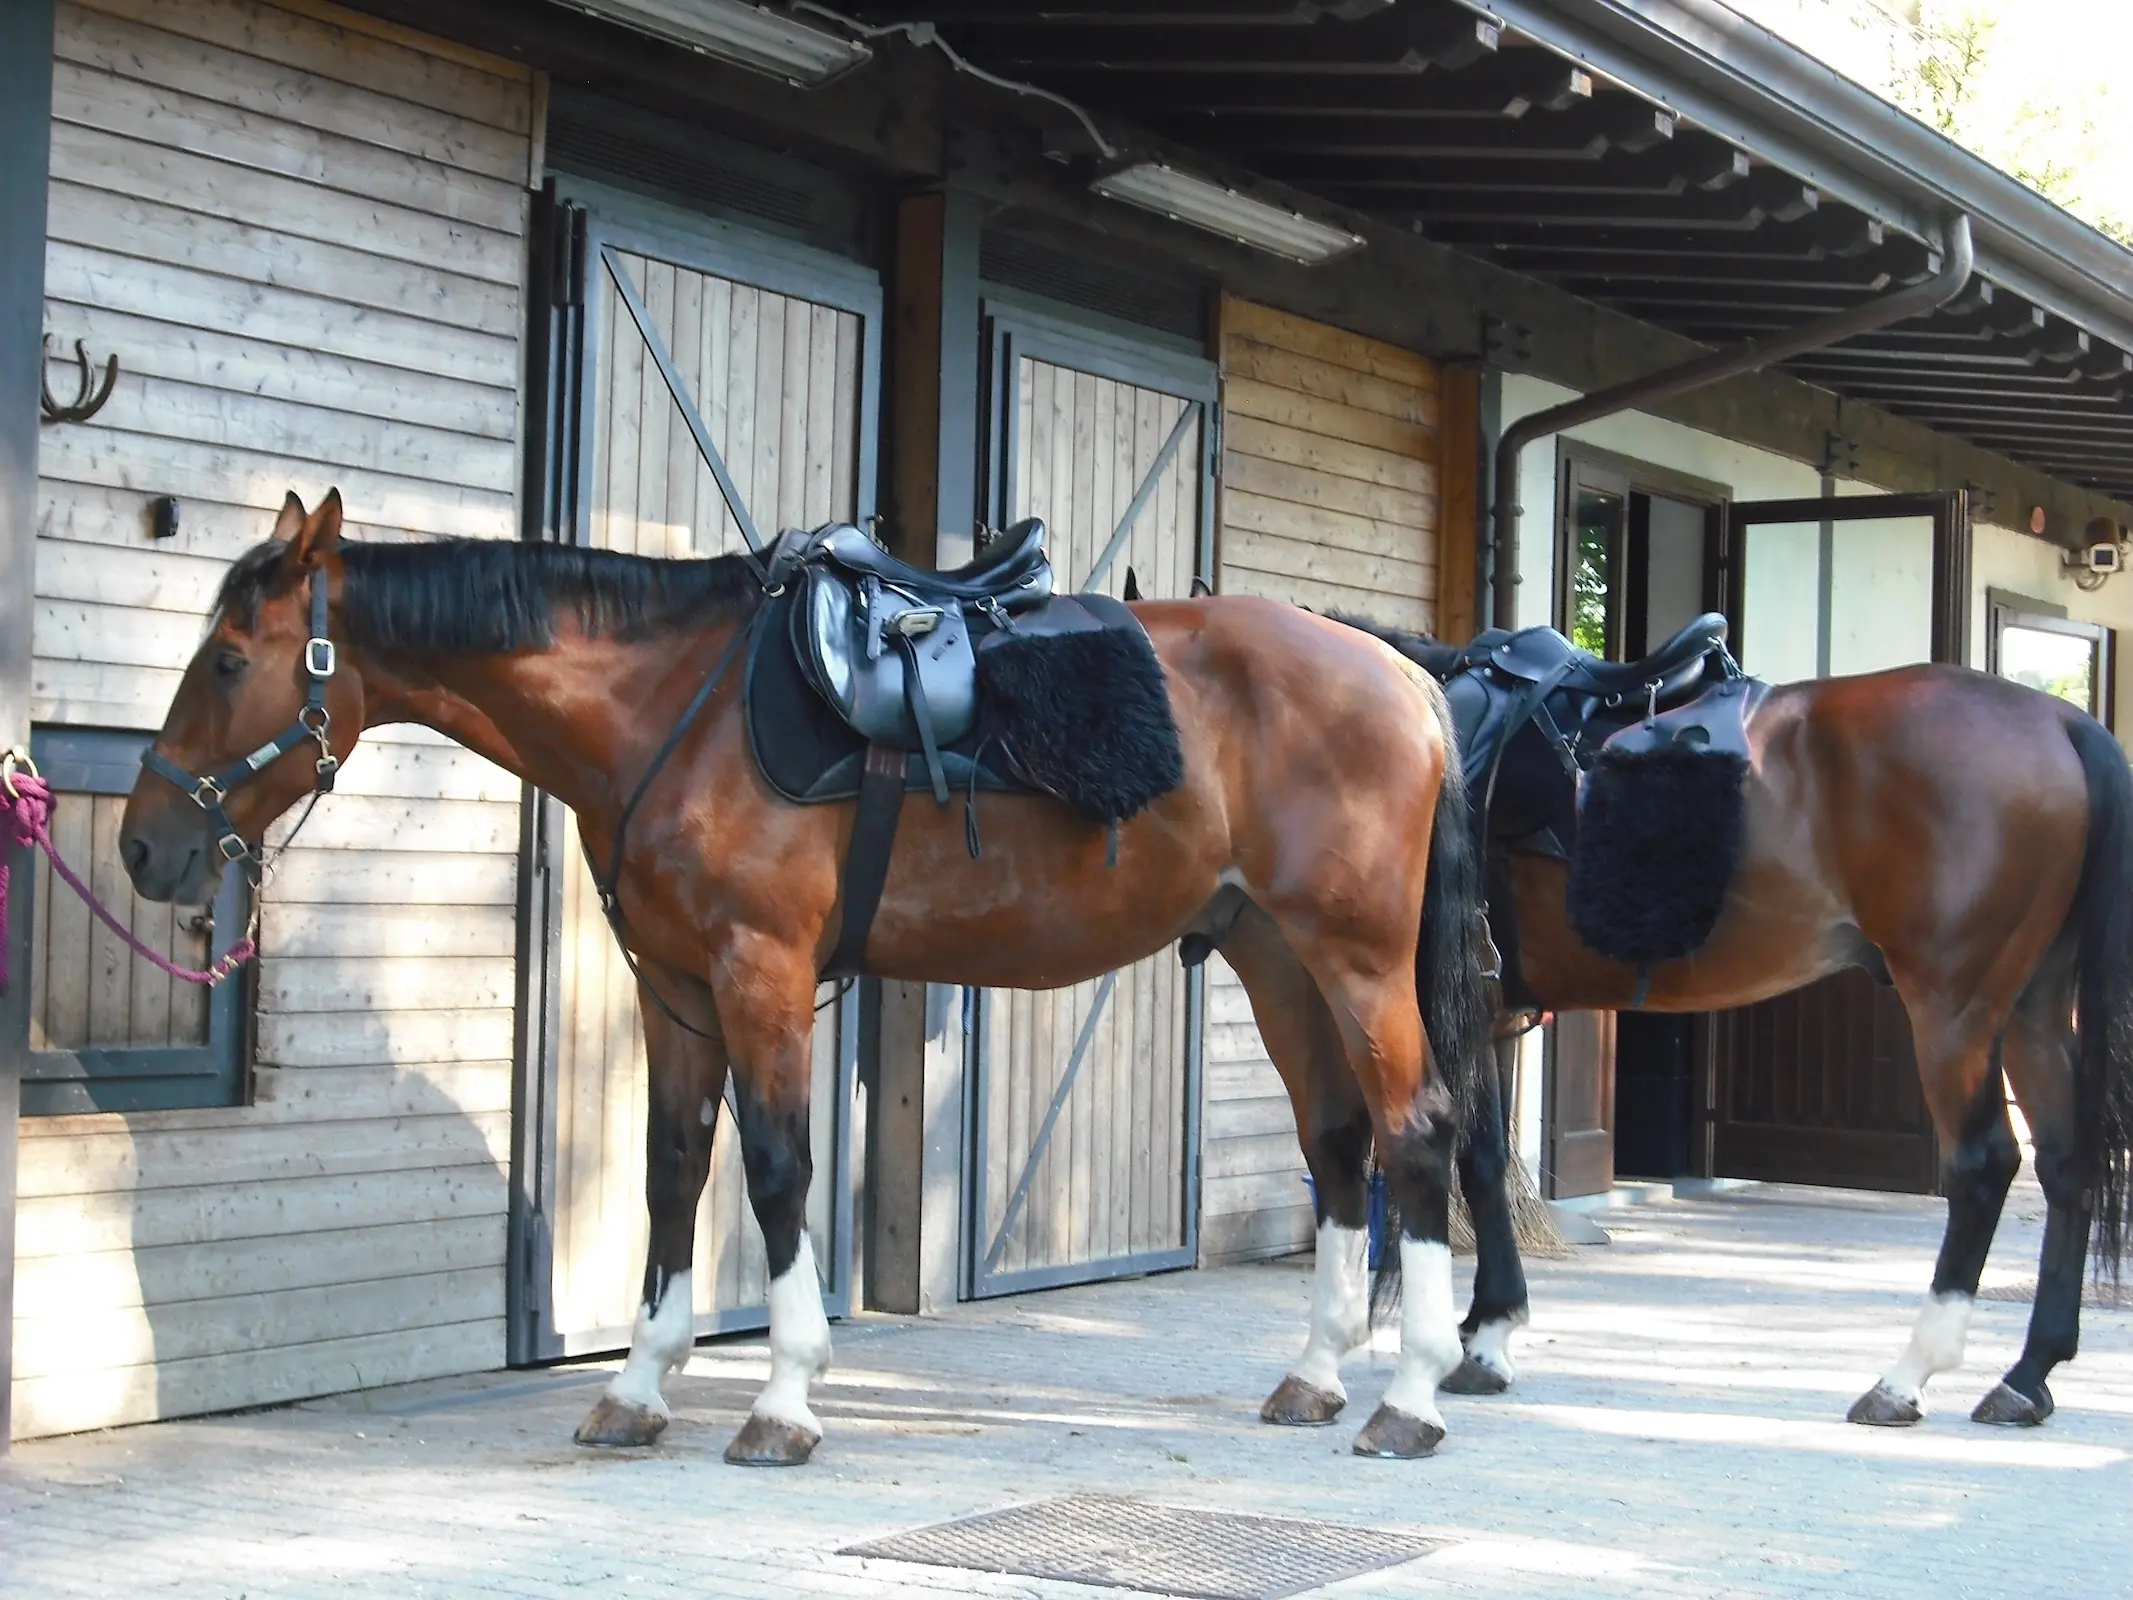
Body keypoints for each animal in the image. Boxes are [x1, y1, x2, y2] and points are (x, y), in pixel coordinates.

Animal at [120, 491, 1494, 1466]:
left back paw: (1414, 1395)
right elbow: (675, 1167)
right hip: (1277, 956)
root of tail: (1402, 675)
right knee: (1338, 1142)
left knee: (1417, 1133)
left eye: (230, 659)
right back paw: (1317, 1376)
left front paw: (783, 1398)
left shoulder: (758, 968)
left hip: (1358, 962)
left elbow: (778, 1166)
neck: (675, 704)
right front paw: (636, 1386)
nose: (145, 846)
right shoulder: (672, 984)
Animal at [1346, 613, 2133, 1432]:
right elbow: (1487, 1162)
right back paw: (2027, 1374)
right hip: (2034, 1005)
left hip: (1956, 1006)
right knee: (2064, 1161)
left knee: (1983, 1165)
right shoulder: (1493, 1015)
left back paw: (1906, 1377)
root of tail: (2059, 720)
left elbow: (1464, 1158)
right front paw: (1490, 1330)